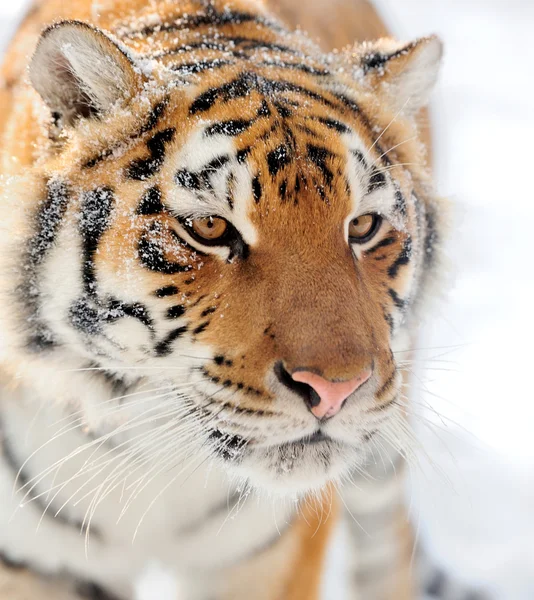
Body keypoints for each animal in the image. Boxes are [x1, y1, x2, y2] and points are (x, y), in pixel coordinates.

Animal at [0, 0, 468, 596]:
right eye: (210, 228)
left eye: (363, 226)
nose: (336, 391)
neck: (149, 456)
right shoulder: (32, 565)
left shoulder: (271, 559)